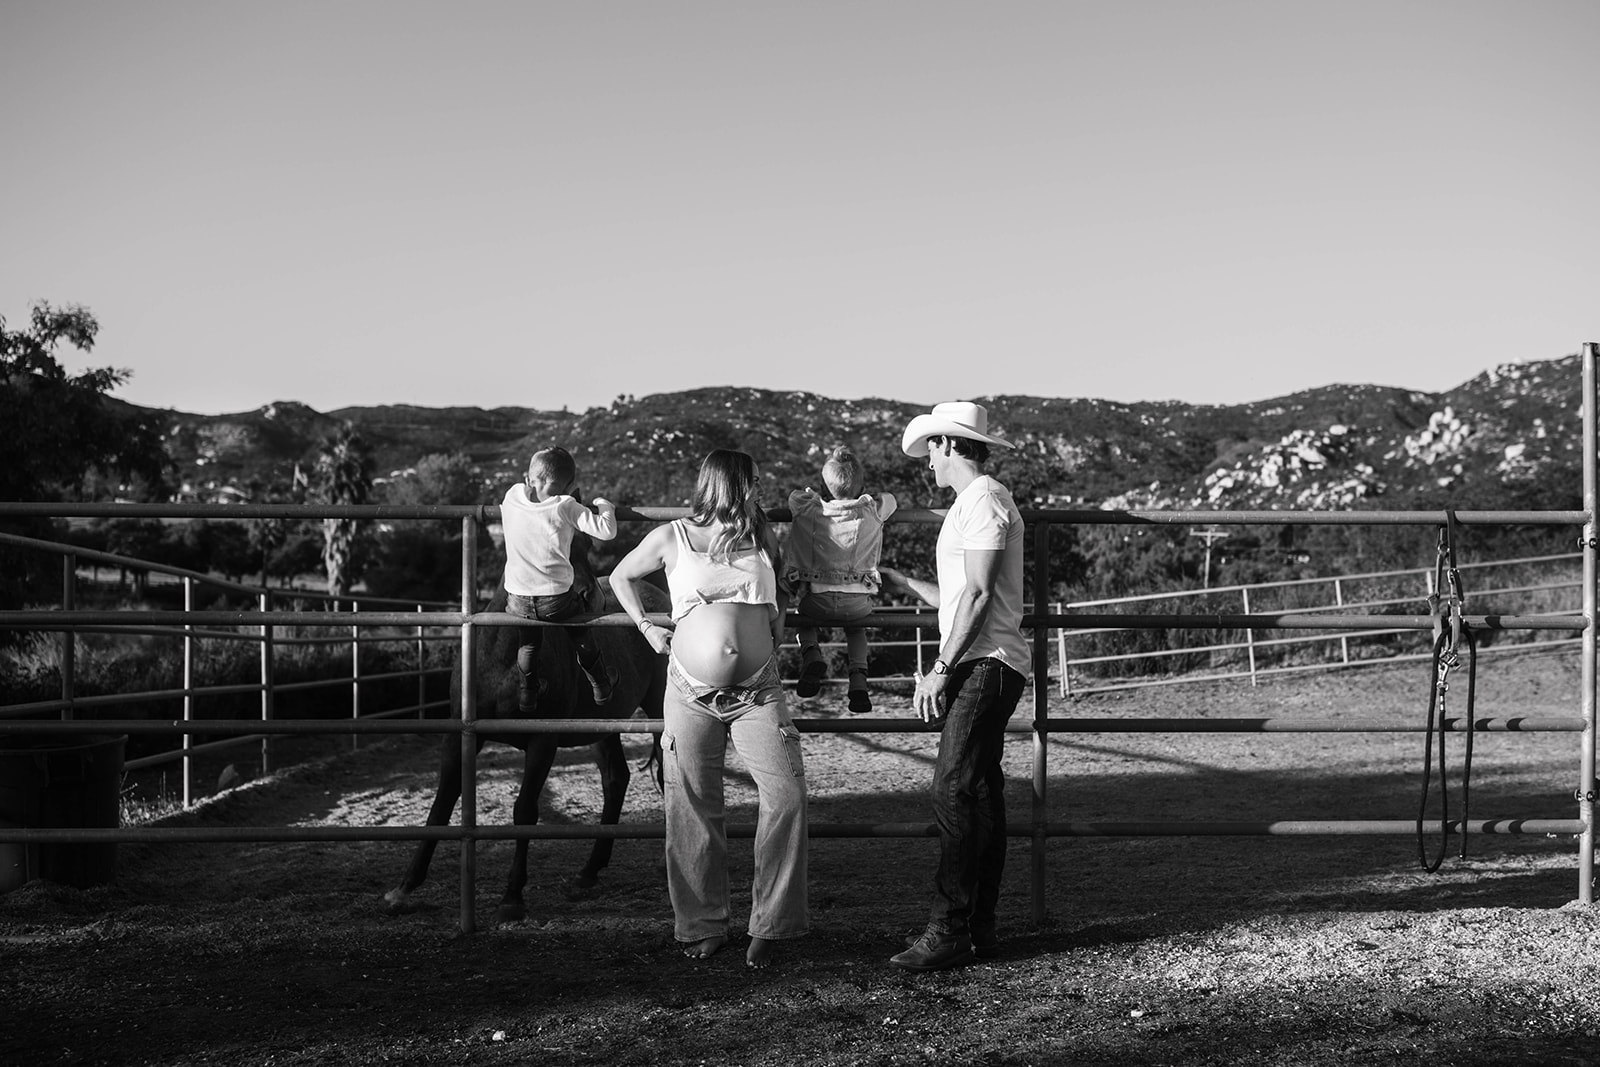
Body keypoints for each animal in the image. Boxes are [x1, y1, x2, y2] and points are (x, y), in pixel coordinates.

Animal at [384, 579, 665, 921]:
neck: (505, 658)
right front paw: (404, 888)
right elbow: (440, 808)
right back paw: (588, 871)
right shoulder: (460, 738)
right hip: (601, 725)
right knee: (615, 778)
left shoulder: (542, 742)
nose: (591, 598)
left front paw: (512, 896)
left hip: (660, 710)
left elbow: (525, 810)